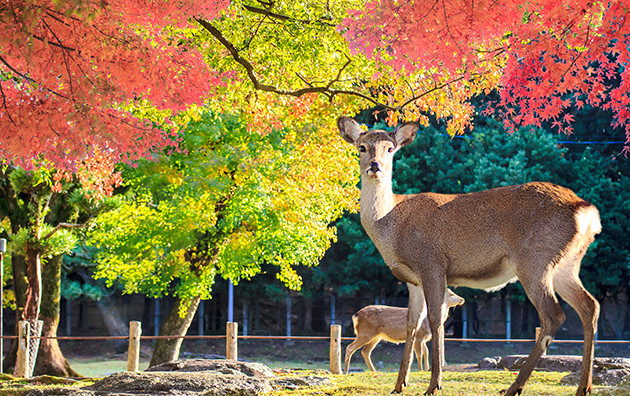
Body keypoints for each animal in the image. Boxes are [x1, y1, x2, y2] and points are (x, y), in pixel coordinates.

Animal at [338, 117, 604, 396]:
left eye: (390, 149)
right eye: (362, 147)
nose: (375, 166)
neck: (391, 226)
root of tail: (586, 211)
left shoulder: (432, 263)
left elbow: (435, 319)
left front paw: (434, 384)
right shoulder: (412, 279)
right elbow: (412, 323)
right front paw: (400, 384)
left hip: (534, 259)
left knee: (553, 314)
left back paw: (514, 387)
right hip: (566, 264)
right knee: (590, 305)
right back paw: (583, 386)